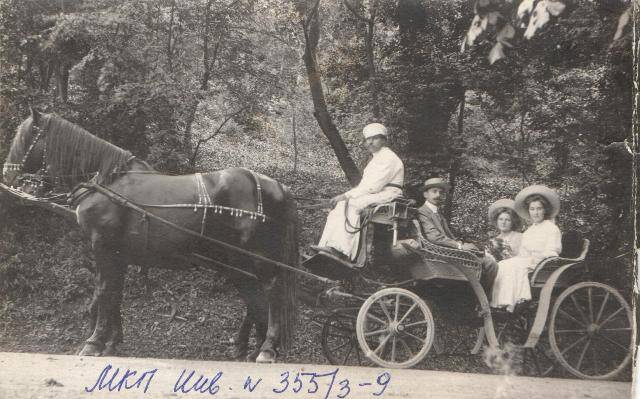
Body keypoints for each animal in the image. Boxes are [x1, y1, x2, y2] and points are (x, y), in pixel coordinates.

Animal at [3, 108, 300, 364]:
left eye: (27, 136)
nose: (7, 173)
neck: (107, 183)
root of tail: (276, 186)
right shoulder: (118, 255)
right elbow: (113, 294)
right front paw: (112, 341)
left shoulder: (103, 248)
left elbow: (103, 292)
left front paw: (94, 342)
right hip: (236, 263)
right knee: (254, 299)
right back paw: (248, 346)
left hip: (256, 260)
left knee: (271, 295)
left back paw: (267, 348)